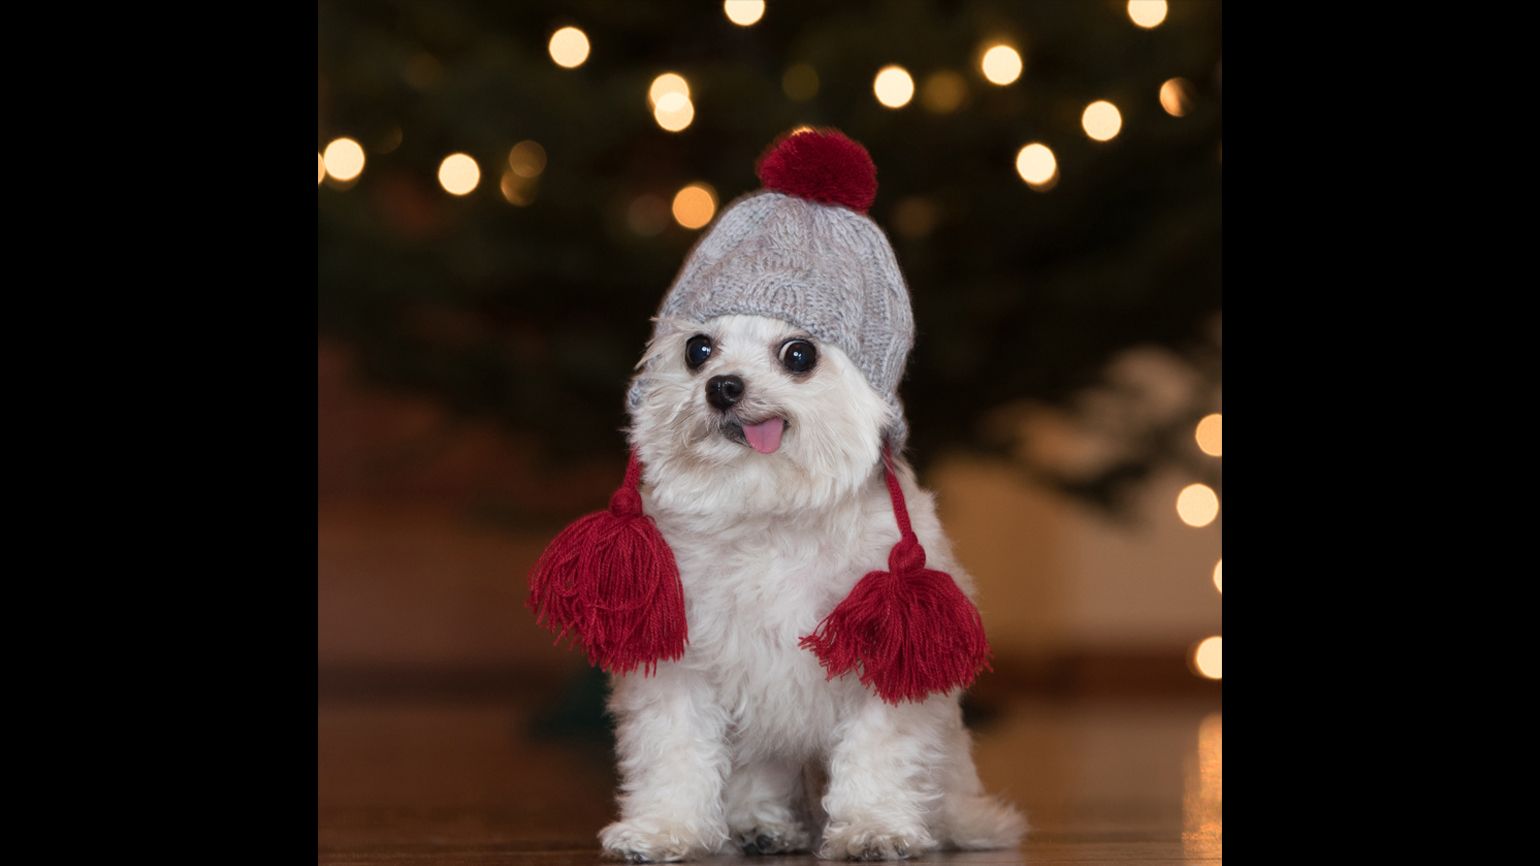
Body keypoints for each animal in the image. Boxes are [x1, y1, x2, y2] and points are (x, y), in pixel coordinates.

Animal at [529, 131, 1022, 856]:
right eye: (698, 351)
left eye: (799, 355)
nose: (723, 387)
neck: (770, 513)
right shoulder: (685, 661)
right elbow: (674, 752)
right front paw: (667, 828)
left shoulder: (884, 657)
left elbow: (877, 753)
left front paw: (874, 827)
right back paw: (761, 825)